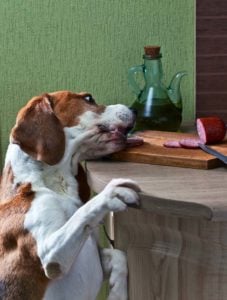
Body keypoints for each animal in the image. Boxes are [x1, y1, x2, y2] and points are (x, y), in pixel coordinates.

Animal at [0, 91, 142, 300]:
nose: (135, 109)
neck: (54, 188)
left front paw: (117, 293)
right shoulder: (52, 258)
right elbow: (84, 211)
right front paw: (112, 192)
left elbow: (119, 256)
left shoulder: (92, 250)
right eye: (89, 98)